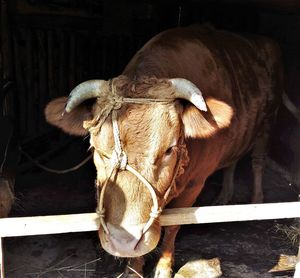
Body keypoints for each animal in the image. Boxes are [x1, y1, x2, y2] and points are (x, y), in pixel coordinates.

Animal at [45, 25, 284, 276]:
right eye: (98, 150)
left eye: (169, 149)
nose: (123, 242)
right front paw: (133, 268)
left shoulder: (195, 183)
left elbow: (174, 225)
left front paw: (163, 267)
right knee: (233, 161)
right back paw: (224, 196)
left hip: (268, 122)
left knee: (258, 161)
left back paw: (256, 201)